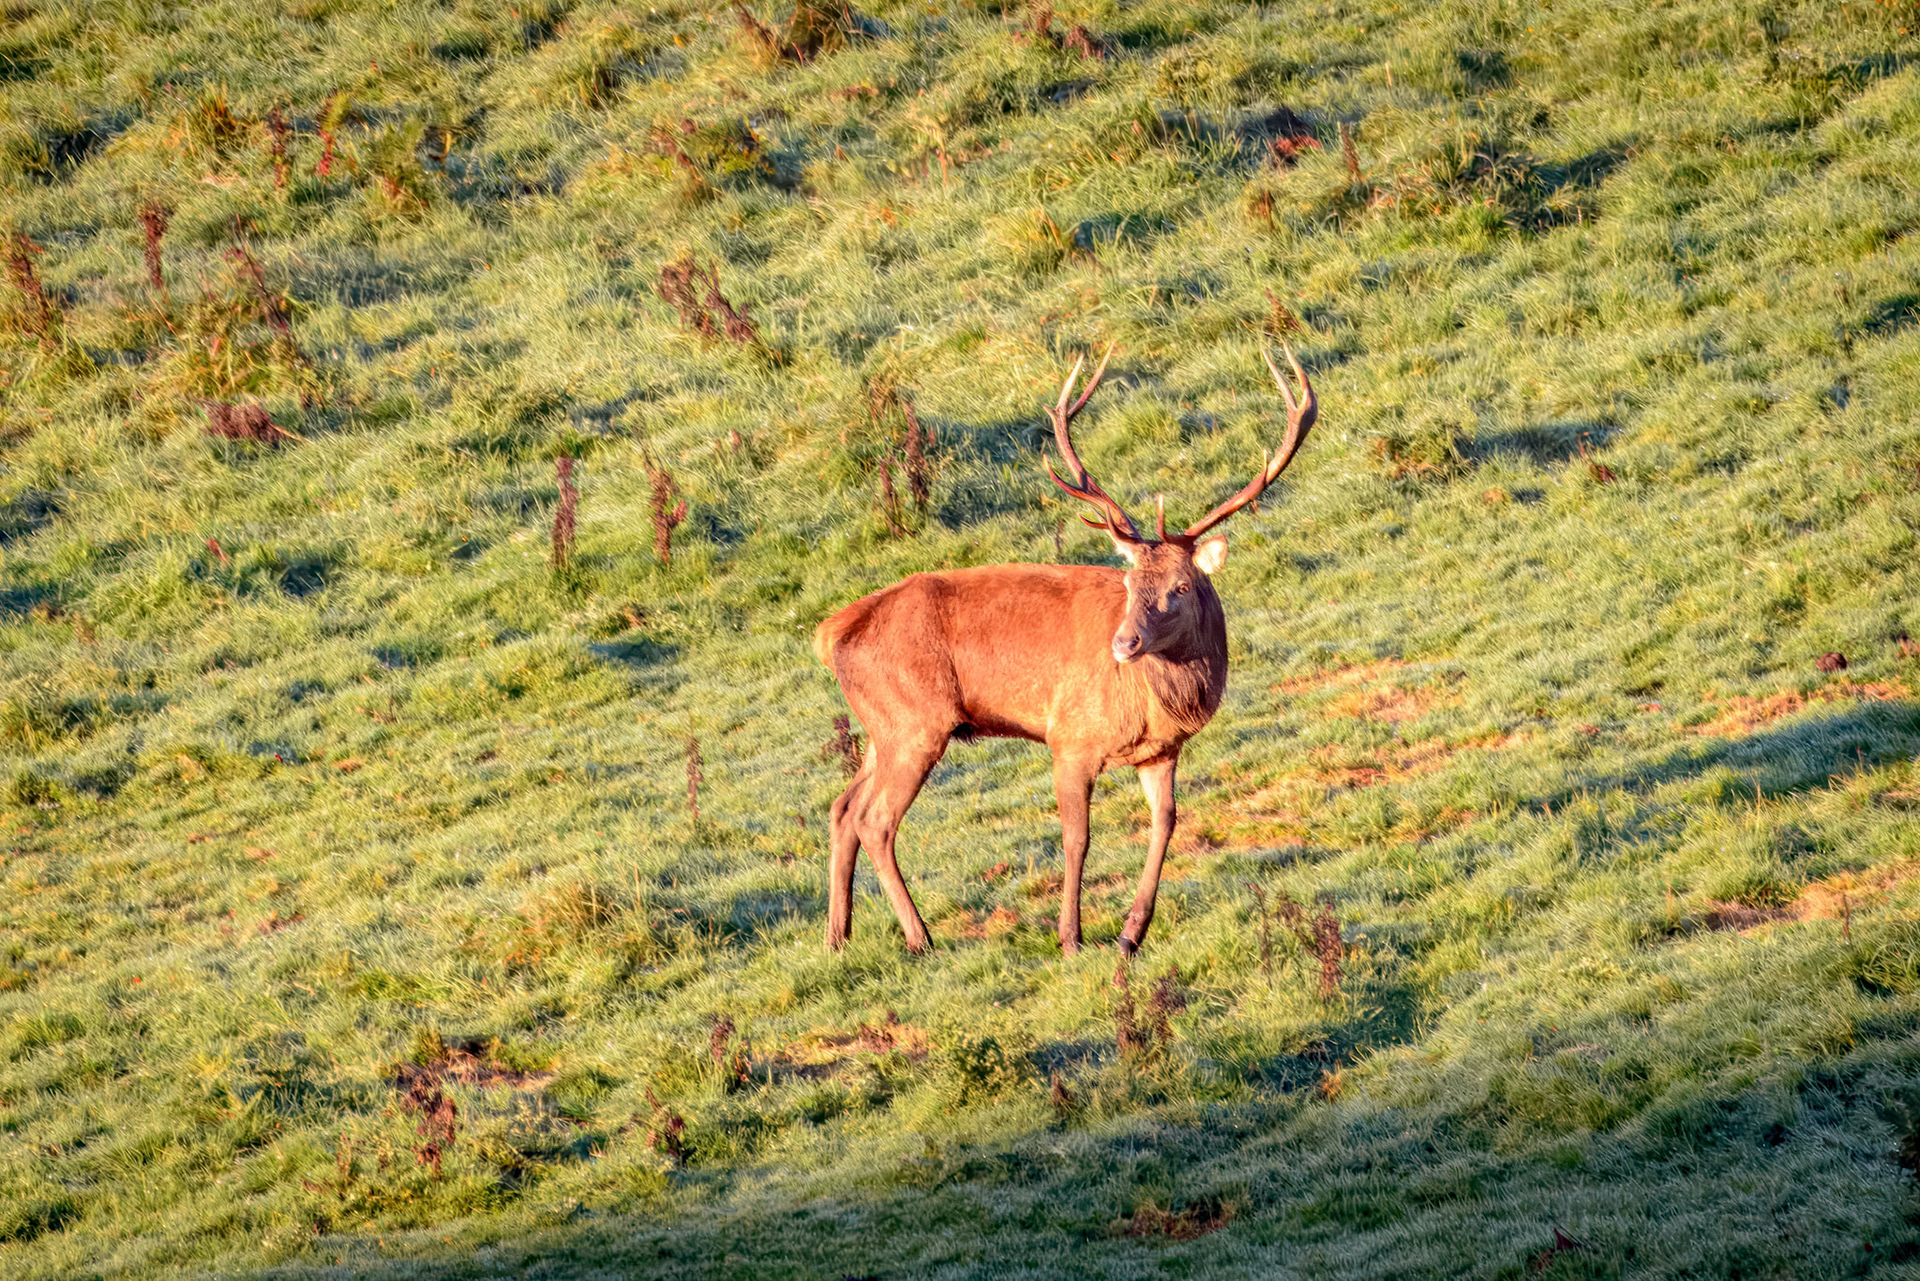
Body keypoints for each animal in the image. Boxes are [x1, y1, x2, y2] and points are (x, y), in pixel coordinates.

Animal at [813, 342, 1318, 956]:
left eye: (1180, 587)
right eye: (1128, 581)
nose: (1124, 643)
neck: (1162, 705)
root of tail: (831, 632)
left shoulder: (1160, 752)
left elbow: (1166, 824)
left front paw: (1131, 933)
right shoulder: (1069, 738)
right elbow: (1078, 836)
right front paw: (1071, 937)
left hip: (879, 727)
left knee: (843, 808)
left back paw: (838, 937)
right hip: (916, 722)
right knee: (876, 819)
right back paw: (919, 937)